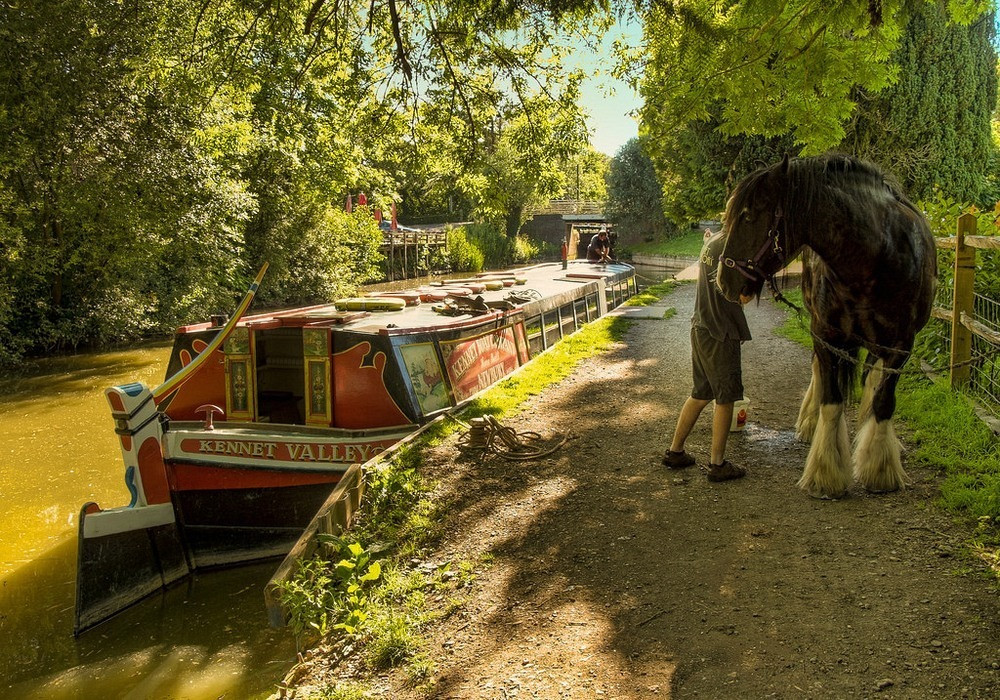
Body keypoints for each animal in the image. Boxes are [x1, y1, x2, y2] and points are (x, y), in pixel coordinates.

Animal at [720, 153, 936, 498]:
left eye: (749, 215)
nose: (723, 280)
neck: (872, 260)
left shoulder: (900, 346)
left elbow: (883, 401)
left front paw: (879, 468)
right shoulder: (824, 335)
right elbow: (831, 399)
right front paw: (826, 474)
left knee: (871, 380)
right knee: (819, 375)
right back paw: (809, 423)